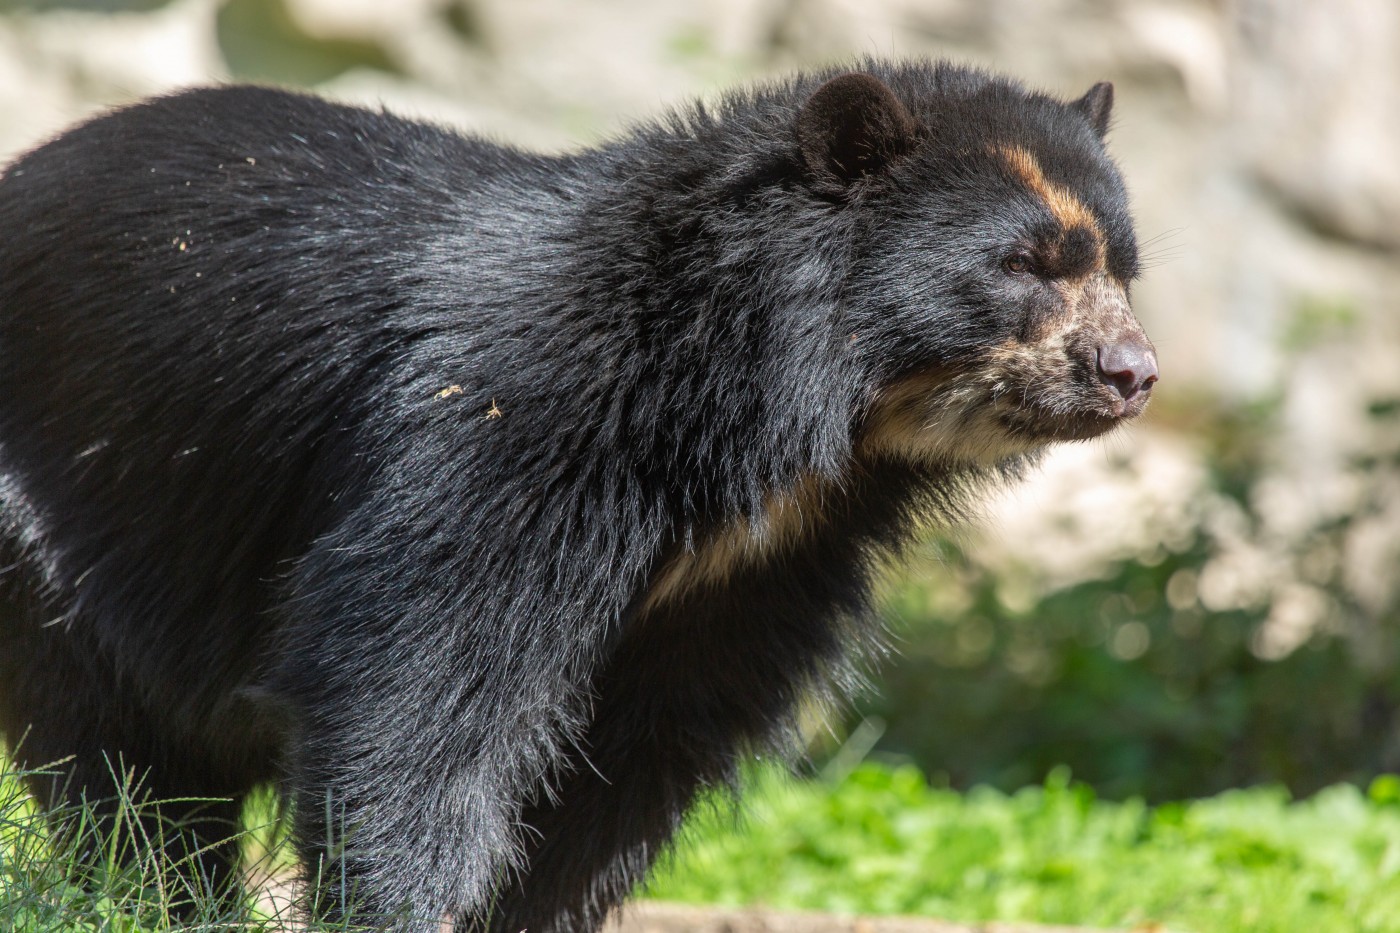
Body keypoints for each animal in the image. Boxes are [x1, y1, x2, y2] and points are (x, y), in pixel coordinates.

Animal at [0, 61, 1159, 924]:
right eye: (1023, 265)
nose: (1133, 372)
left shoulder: (759, 571)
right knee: (123, 771)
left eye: (1119, 266)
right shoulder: (499, 437)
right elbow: (413, 694)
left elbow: (625, 768)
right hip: (62, 525)